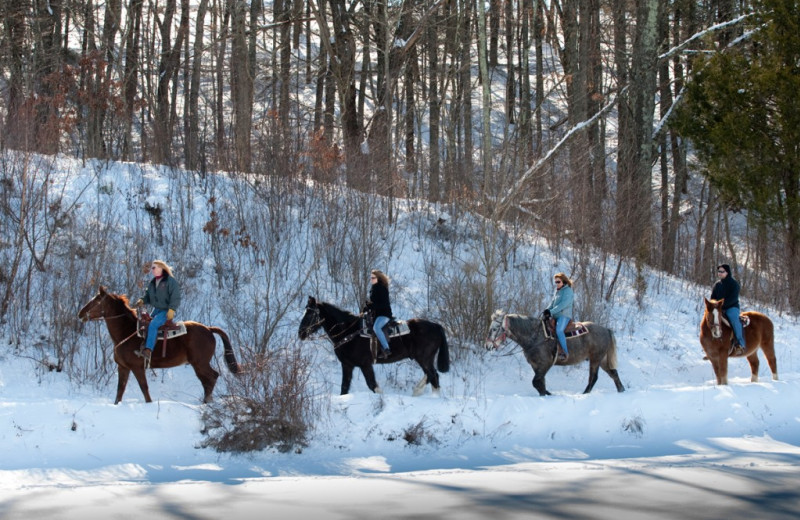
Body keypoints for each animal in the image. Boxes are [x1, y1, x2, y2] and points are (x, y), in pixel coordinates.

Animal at [77, 286, 241, 404]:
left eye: (96, 301)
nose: (80, 314)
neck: (126, 332)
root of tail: (208, 329)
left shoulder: (137, 367)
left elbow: (144, 388)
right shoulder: (123, 367)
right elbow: (120, 391)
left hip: (200, 363)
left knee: (212, 378)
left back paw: (206, 402)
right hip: (199, 364)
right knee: (207, 381)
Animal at [300, 294, 450, 396]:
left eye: (310, 314)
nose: (300, 333)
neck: (349, 332)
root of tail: (436, 326)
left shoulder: (365, 364)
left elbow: (372, 385)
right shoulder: (347, 365)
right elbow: (344, 388)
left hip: (424, 358)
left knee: (433, 375)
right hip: (425, 359)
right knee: (432, 377)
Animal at [482, 308, 624, 394]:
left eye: (494, 329)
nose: (487, 346)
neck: (535, 336)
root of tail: (606, 329)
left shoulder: (545, 364)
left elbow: (536, 382)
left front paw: (549, 394)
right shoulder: (536, 365)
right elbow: (540, 383)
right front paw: (545, 394)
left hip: (595, 359)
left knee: (593, 377)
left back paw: (585, 393)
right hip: (602, 359)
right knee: (613, 374)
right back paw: (621, 390)